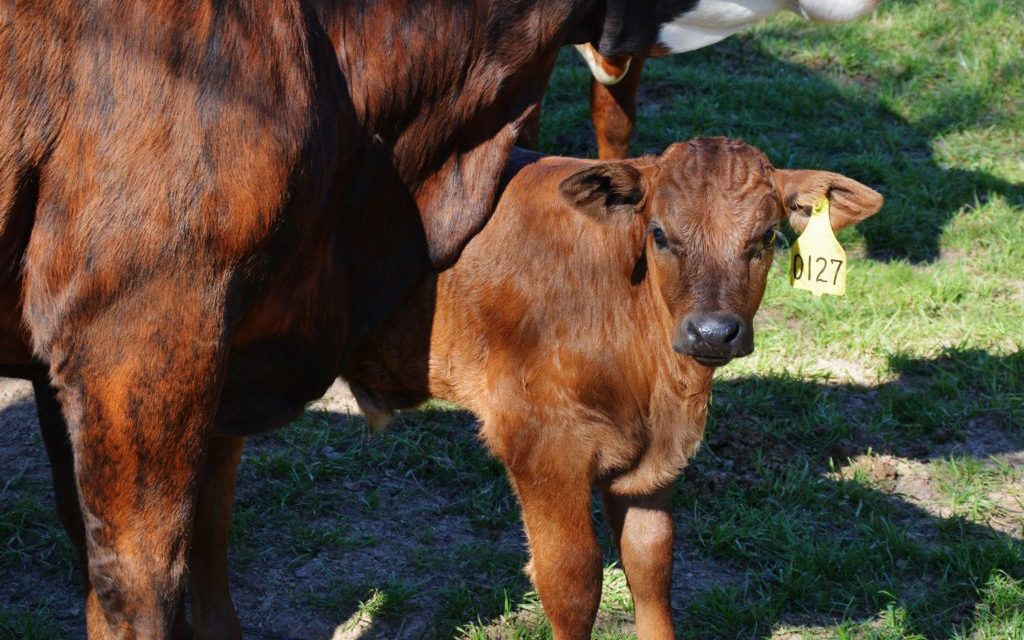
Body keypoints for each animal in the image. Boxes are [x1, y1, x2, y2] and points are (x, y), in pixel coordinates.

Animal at [342, 139, 880, 638]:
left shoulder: (651, 464)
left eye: (767, 235)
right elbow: (572, 580)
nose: (711, 332)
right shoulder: (539, 442)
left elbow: (651, 563)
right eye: (658, 233)